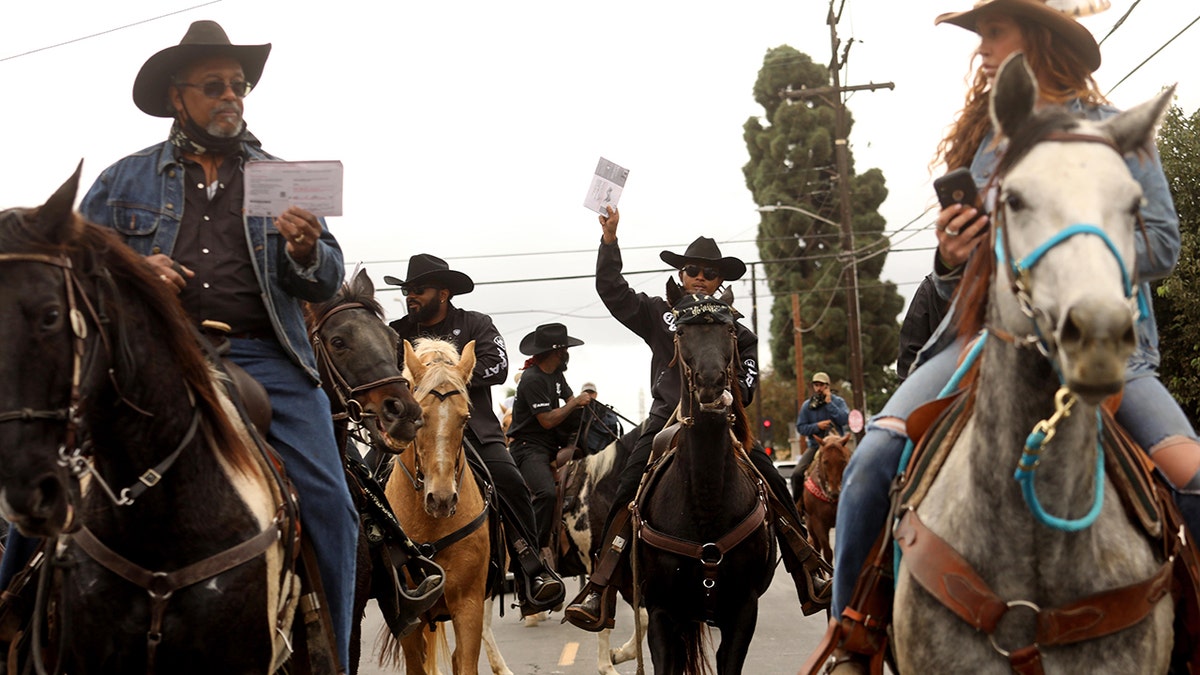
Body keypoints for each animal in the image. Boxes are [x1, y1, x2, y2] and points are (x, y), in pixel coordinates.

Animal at [633, 294, 772, 672]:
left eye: (730, 330)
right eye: (680, 332)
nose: (711, 381)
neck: (705, 503)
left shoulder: (744, 612)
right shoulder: (661, 613)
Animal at [801, 429, 849, 562]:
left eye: (843, 461)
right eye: (825, 462)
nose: (835, 492)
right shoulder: (818, 522)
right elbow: (827, 552)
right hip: (810, 524)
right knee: (816, 545)